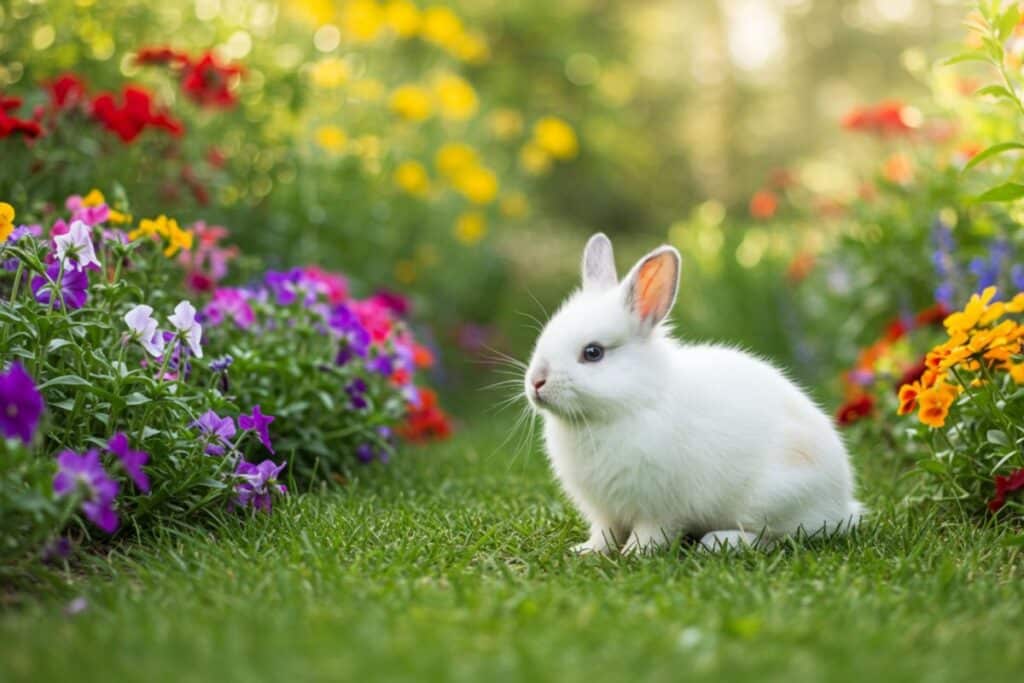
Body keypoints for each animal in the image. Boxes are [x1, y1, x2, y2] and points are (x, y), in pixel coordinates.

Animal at [523, 233, 864, 554]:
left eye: (593, 353)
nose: (536, 382)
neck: (632, 402)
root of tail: (841, 504)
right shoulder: (605, 510)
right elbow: (604, 533)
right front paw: (586, 551)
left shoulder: (659, 506)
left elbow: (650, 532)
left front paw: (633, 553)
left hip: (773, 500)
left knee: (777, 538)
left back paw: (717, 542)